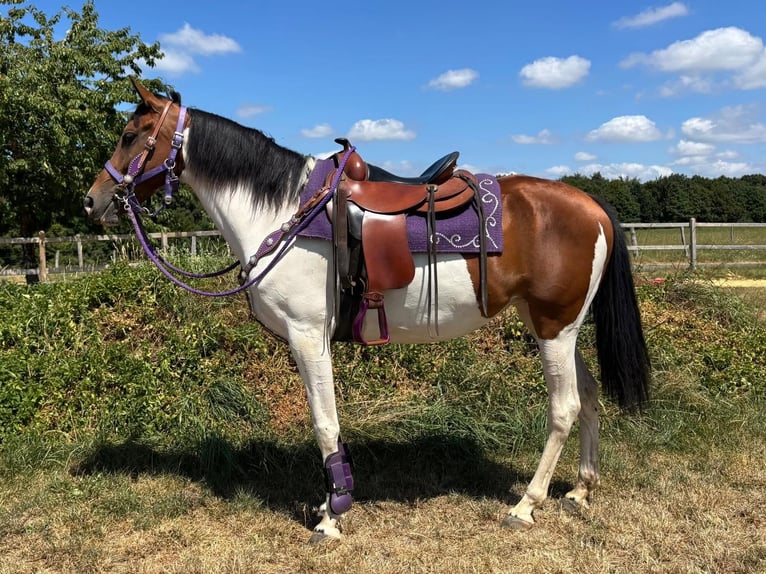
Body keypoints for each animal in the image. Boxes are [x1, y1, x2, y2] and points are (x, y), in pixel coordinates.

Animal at [84, 78, 650, 543]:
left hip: (555, 328)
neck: (284, 210)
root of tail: (591, 205)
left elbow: (324, 424)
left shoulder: (308, 336)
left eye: (131, 135)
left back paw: (527, 505)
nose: (93, 201)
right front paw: (331, 502)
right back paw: (580, 490)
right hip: (555, 327)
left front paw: (332, 515)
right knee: (590, 397)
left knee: (565, 408)